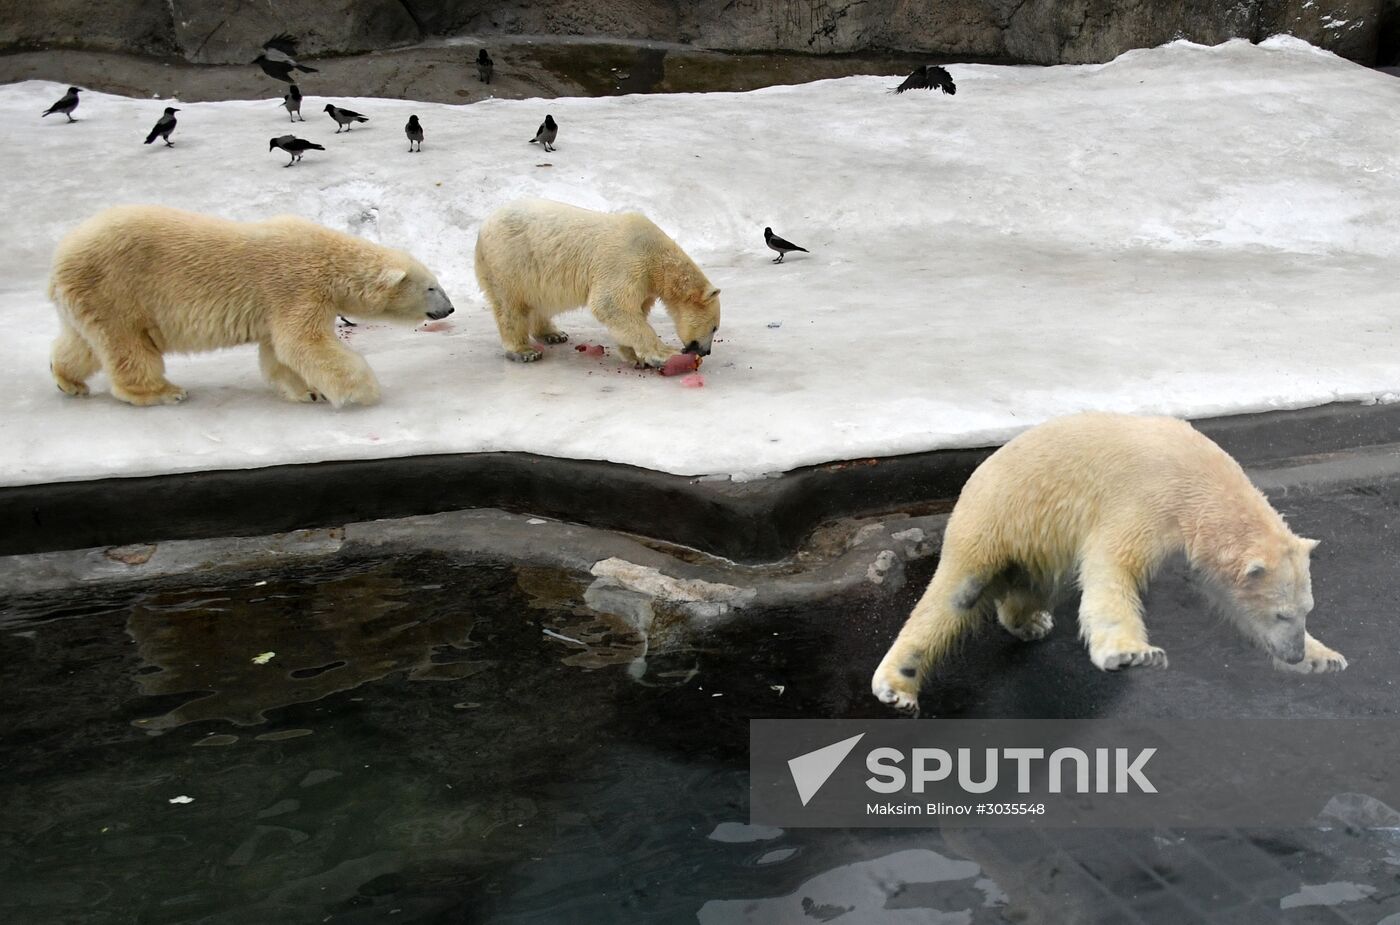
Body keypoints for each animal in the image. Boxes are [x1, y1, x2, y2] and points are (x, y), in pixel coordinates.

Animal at [48, 204, 454, 407]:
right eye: (432, 287)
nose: (448, 309)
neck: (328, 259)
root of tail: (60, 261)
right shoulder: (297, 286)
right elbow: (303, 343)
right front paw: (361, 390)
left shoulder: (281, 303)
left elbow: (279, 352)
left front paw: (309, 391)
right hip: (118, 291)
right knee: (131, 348)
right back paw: (164, 392)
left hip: (92, 300)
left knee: (84, 343)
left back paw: (69, 381)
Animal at [473, 198, 721, 366]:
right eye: (714, 327)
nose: (705, 352)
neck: (656, 257)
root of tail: (483, 227)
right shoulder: (626, 264)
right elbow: (610, 305)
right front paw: (664, 354)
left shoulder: (644, 283)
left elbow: (633, 311)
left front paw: (633, 355)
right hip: (508, 261)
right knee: (510, 307)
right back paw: (524, 351)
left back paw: (554, 334)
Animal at [871, 412, 1346, 713]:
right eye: (1282, 613)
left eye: (1305, 611)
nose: (1292, 653)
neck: (1203, 488)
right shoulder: (1146, 499)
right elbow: (1113, 571)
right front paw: (1133, 655)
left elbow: (1228, 603)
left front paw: (1324, 658)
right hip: (1000, 520)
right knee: (955, 594)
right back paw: (897, 687)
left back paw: (1031, 621)